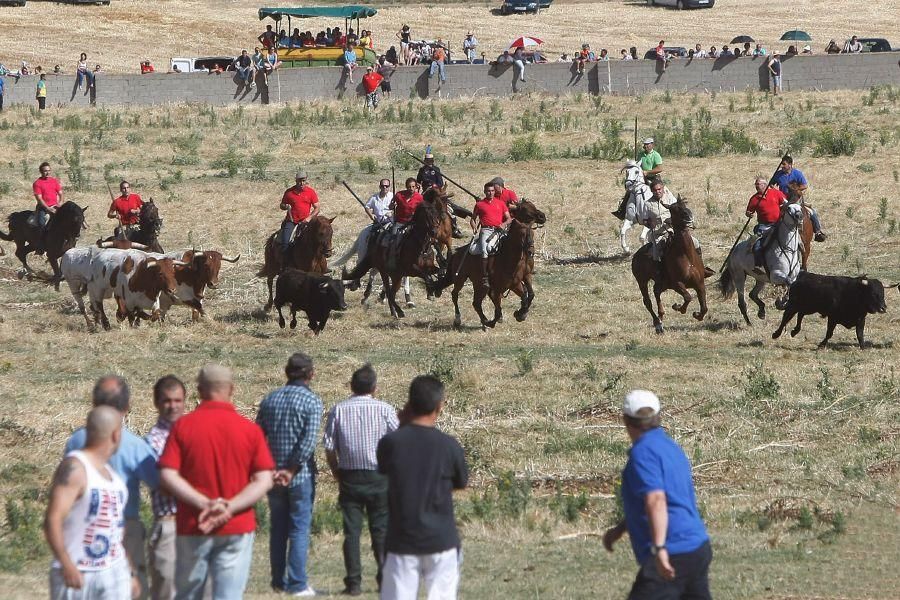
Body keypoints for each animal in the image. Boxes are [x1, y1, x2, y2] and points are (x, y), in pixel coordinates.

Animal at [432, 199, 544, 330]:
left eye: (532, 234)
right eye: (522, 234)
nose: (542, 216)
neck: (509, 258)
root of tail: (457, 252)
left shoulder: (519, 281)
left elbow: (527, 296)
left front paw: (520, 314)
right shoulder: (499, 288)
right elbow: (499, 308)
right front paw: (499, 319)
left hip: (479, 284)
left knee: (476, 303)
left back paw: (484, 320)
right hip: (460, 278)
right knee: (455, 294)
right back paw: (459, 319)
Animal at [628, 199, 712, 336]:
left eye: (684, 205)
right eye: (674, 209)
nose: (689, 217)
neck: (686, 256)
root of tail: (636, 255)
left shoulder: (699, 284)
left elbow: (704, 308)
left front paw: (697, 315)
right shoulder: (677, 284)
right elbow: (688, 297)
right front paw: (678, 308)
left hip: (662, 283)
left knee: (656, 291)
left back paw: (661, 316)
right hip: (642, 281)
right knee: (648, 302)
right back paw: (657, 324)